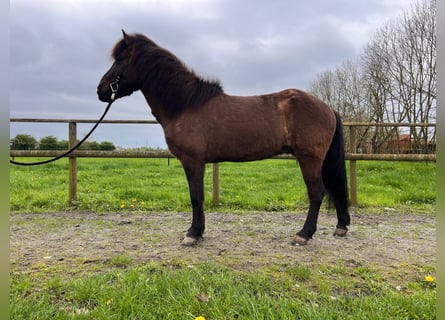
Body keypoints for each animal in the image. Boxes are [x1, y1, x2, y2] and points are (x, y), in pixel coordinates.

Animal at [97, 30, 350, 245]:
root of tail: (328, 108)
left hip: (310, 159)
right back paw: (341, 226)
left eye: (120, 60)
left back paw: (303, 235)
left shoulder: (192, 161)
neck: (186, 104)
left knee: (316, 193)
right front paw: (198, 232)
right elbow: (198, 196)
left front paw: (192, 234)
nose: (101, 90)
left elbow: (196, 197)